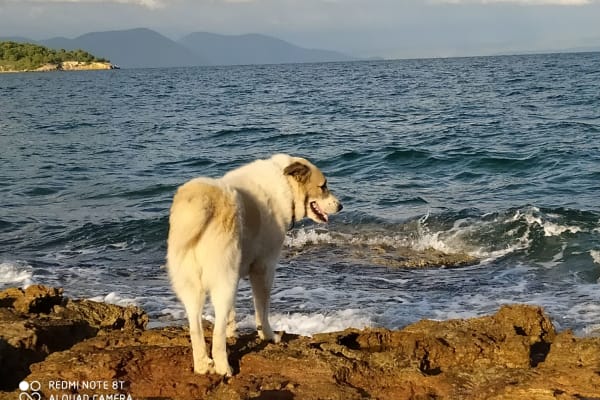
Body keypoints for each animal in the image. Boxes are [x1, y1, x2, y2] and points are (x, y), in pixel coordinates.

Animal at [166, 153, 342, 376]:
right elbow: (262, 310)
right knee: (217, 333)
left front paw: (233, 333)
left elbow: (232, 315)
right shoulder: (264, 269)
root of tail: (203, 200)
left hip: (192, 288)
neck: (285, 184)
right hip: (224, 283)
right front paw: (268, 336)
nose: (340, 206)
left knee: (195, 329)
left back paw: (203, 365)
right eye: (323, 186)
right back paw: (224, 368)